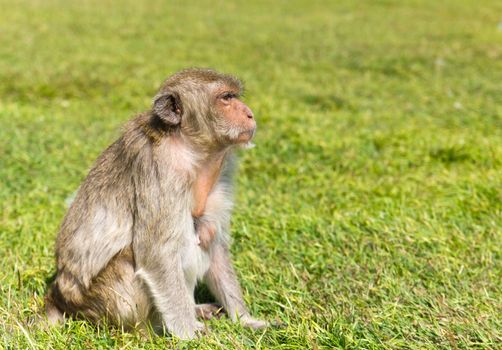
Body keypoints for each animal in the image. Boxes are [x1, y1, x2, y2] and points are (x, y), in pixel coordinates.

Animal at [45, 68, 268, 340]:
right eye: (226, 98)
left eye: (235, 96)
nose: (249, 113)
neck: (189, 147)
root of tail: (61, 299)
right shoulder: (162, 170)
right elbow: (156, 254)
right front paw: (189, 335)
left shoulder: (222, 172)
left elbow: (215, 245)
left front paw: (245, 320)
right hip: (106, 306)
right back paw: (153, 331)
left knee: (201, 230)